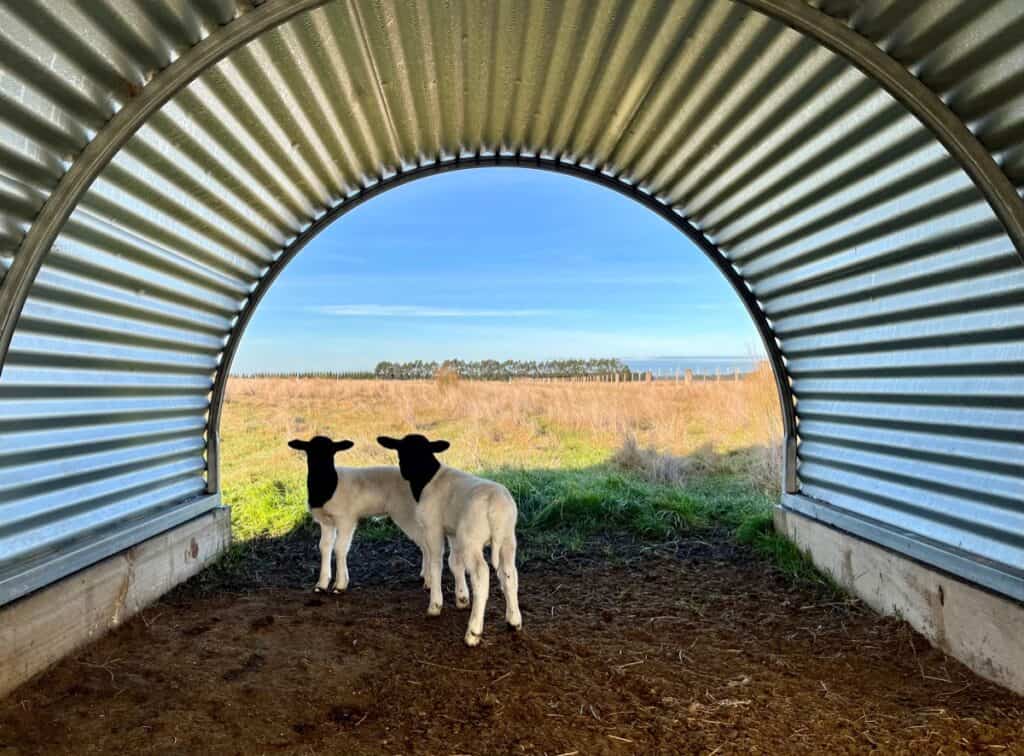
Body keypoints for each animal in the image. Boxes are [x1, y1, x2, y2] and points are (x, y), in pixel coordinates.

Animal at [288, 432, 464, 598]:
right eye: (309, 451)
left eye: (331, 452)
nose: (319, 468)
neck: (327, 486)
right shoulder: (325, 521)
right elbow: (324, 547)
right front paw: (321, 584)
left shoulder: (346, 519)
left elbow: (339, 548)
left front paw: (340, 585)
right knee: (423, 543)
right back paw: (424, 576)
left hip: (406, 514)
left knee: (425, 543)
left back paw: (428, 581)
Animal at [376, 432, 520, 643]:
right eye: (402, 450)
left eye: (420, 453)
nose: (406, 472)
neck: (428, 478)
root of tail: (496, 504)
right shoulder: (452, 532)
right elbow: (455, 563)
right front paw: (461, 598)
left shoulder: (433, 527)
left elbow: (436, 562)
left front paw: (435, 604)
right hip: (508, 539)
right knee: (510, 574)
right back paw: (514, 621)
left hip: (471, 539)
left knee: (481, 575)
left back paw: (473, 632)